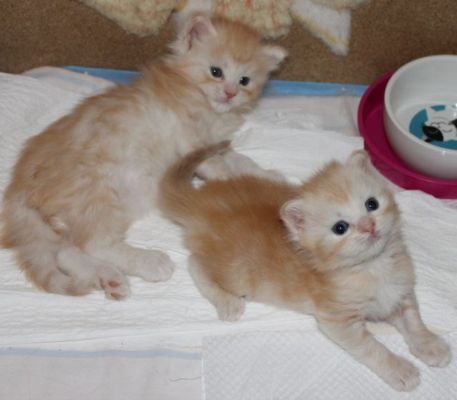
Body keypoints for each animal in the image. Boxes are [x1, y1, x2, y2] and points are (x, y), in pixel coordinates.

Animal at [0, 14, 284, 298]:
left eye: (244, 81)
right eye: (216, 72)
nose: (230, 93)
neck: (197, 96)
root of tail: (19, 182)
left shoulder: (217, 142)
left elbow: (240, 159)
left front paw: (267, 175)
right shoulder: (188, 138)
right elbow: (217, 164)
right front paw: (232, 182)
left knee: (66, 250)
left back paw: (108, 278)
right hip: (94, 192)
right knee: (93, 243)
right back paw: (149, 263)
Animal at [159, 142, 448, 392]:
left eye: (371, 204)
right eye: (340, 228)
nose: (369, 226)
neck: (374, 266)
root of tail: (200, 203)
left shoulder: (400, 291)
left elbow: (413, 318)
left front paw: (430, 345)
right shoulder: (338, 320)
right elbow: (371, 347)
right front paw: (400, 369)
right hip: (238, 272)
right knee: (194, 263)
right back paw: (227, 301)